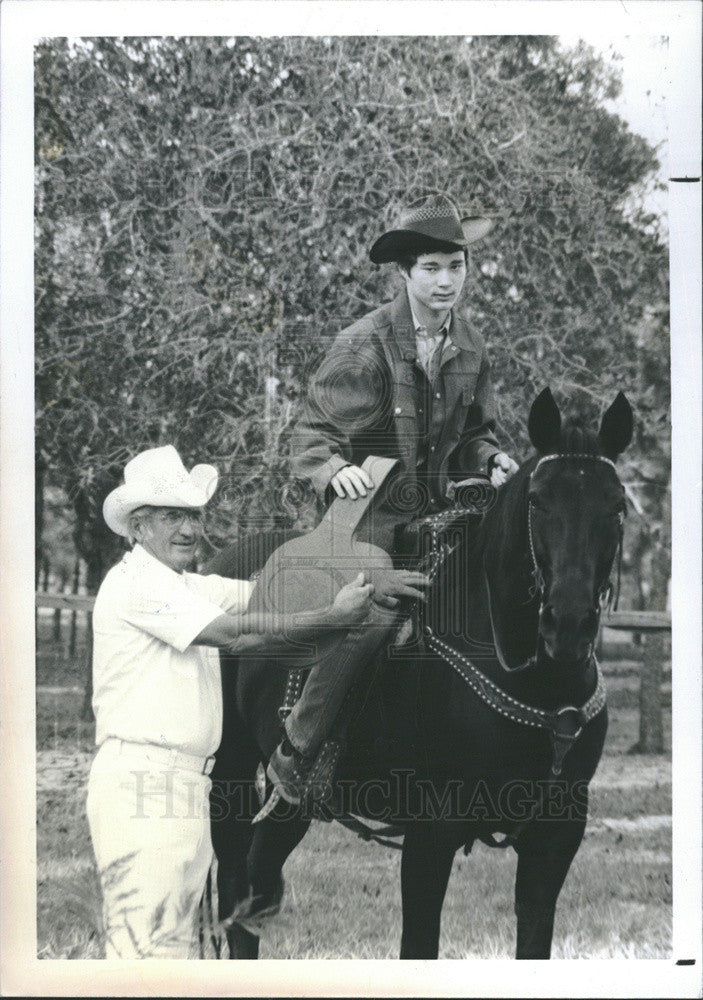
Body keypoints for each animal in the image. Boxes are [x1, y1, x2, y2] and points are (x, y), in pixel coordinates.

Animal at [208, 386, 632, 956]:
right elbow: (419, 942)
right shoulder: (431, 835)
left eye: (617, 506)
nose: (567, 623)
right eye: (538, 501)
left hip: (291, 807)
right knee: (237, 890)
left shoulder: (556, 836)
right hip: (231, 771)